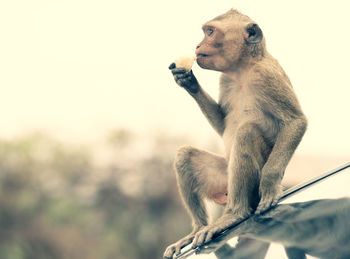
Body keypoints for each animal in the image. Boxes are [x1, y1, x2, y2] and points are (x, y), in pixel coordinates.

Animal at [163, 9, 306, 258]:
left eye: (210, 32)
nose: (198, 45)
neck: (242, 70)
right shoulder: (225, 79)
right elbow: (222, 124)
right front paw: (189, 81)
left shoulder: (266, 77)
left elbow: (295, 122)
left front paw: (271, 184)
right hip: (222, 178)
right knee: (185, 155)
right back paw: (197, 230)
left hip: (250, 188)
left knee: (246, 133)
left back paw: (235, 214)